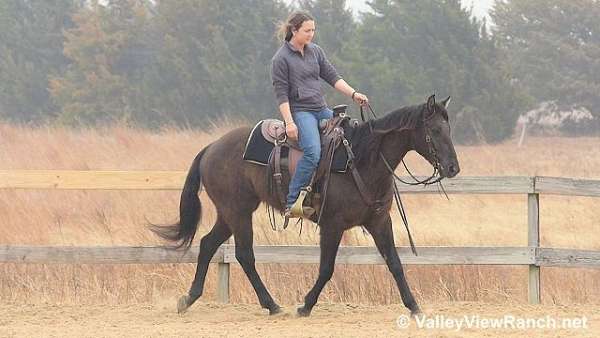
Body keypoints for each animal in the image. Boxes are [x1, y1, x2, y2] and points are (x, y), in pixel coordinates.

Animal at [150, 93, 460, 316]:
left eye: (449, 129)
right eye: (435, 129)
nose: (453, 167)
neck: (361, 159)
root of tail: (212, 147)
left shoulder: (379, 221)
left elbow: (395, 263)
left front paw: (414, 306)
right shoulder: (332, 225)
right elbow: (326, 268)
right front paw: (306, 305)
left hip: (230, 213)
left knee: (207, 244)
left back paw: (188, 298)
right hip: (237, 212)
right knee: (244, 255)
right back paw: (271, 304)